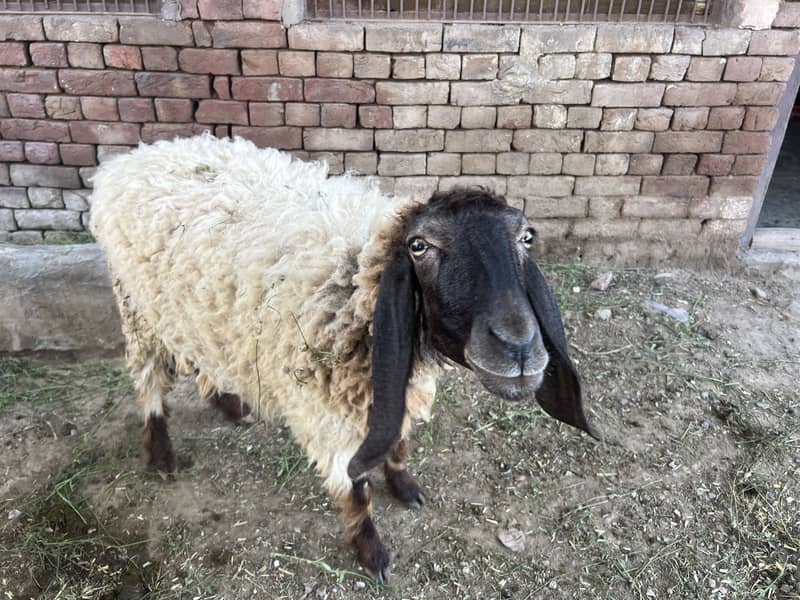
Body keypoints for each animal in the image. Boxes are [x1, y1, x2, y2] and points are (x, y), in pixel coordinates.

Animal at [89, 134, 597, 581]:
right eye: (419, 246)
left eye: (526, 237)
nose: (518, 346)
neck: (355, 282)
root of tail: (131, 158)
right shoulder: (325, 414)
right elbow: (354, 491)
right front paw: (371, 551)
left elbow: (398, 442)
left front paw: (405, 487)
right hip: (137, 308)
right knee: (149, 380)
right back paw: (161, 453)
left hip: (194, 311)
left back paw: (230, 406)